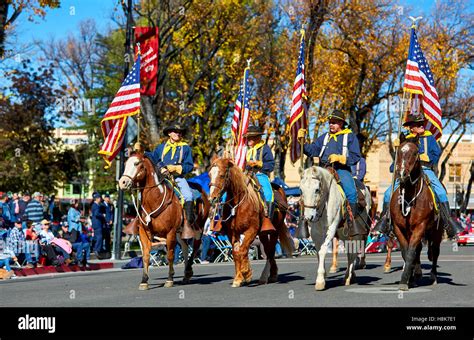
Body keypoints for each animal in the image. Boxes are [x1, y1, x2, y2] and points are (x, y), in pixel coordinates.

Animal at [117, 151, 209, 290]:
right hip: (180, 232)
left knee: (196, 246)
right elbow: (146, 255)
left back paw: (188, 270)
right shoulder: (144, 233)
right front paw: (144, 281)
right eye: (126, 163)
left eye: (136, 163)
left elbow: (170, 255)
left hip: (198, 228)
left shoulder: (170, 232)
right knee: (185, 247)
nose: (122, 182)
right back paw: (186, 275)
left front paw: (169, 279)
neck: (155, 199)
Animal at [207, 158, 292, 286]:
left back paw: (267, 276)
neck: (238, 205)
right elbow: (236, 253)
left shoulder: (251, 230)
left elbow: (242, 250)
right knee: (267, 250)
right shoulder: (233, 233)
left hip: (274, 230)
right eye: (210, 174)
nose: (212, 199)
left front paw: (246, 273)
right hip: (262, 234)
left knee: (271, 251)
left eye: (222, 175)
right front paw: (238, 278)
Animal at [390, 134, 442, 290]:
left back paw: (433, 276)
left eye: (414, 153)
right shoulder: (399, 228)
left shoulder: (420, 227)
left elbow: (411, 252)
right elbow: (406, 251)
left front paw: (405, 280)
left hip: (436, 233)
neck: (408, 196)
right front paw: (410, 278)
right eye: (399, 152)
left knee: (435, 252)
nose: (402, 174)